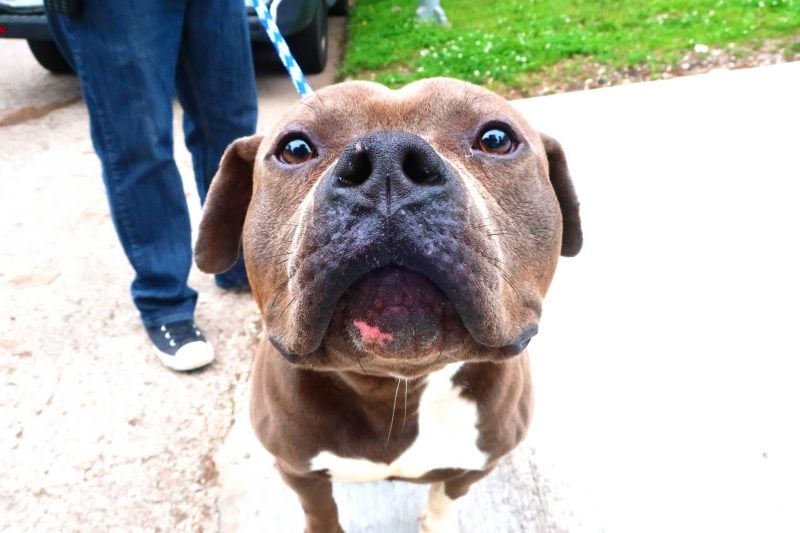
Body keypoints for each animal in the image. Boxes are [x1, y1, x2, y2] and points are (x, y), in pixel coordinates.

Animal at [194, 77, 580, 528]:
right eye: (295, 148)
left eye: (496, 139)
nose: (387, 161)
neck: (395, 386)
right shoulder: (297, 470)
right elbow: (320, 512)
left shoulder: (475, 466)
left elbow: (445, 499)